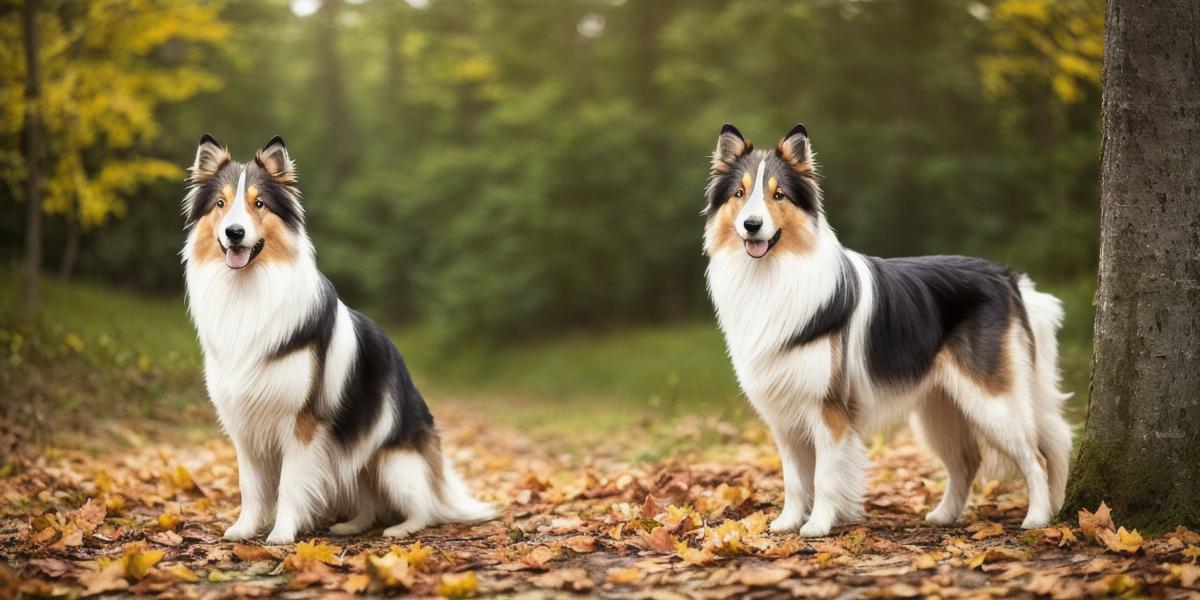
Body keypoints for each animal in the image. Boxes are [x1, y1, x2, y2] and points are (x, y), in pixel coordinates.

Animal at [182, 135, 492, 544]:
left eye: (259, 204)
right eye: (220, 204)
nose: (235, 232)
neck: (250, 289)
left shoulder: (301, 423)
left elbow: (290, 483)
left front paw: (281, 534)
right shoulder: (243, 423)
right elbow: (251, 484)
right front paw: (244, 529)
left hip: (392, 462)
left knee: (425, 506)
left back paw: (401, 528)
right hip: (351, 457)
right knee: (368, 501)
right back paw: (351, 525)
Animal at [700, 124, 1075, 537]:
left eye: (777, 194)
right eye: (739, 194)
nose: (751, 225)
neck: (774, 273)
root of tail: (1007, 277)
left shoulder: (829, 409)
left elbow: (824, 476)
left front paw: (818, 525)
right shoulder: (783, 413)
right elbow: (794, 478)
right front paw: (786, 523)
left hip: (991, 402)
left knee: (1035, 456)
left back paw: (1037, 517)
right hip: (940, 408)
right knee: (967, 461)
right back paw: (944, 515)